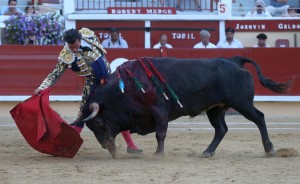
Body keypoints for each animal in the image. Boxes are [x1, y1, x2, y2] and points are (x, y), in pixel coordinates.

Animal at [79, 56, 290, 158]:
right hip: (215, 109)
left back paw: (270, 149)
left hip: (242, 103)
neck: (126, 88)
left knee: (259, 118)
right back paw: (208, 152)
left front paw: (158, 154)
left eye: (98, 123)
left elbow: (160, 134)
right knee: (221, 129)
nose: (106, 145)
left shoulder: (159, 111)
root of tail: (234, 60)